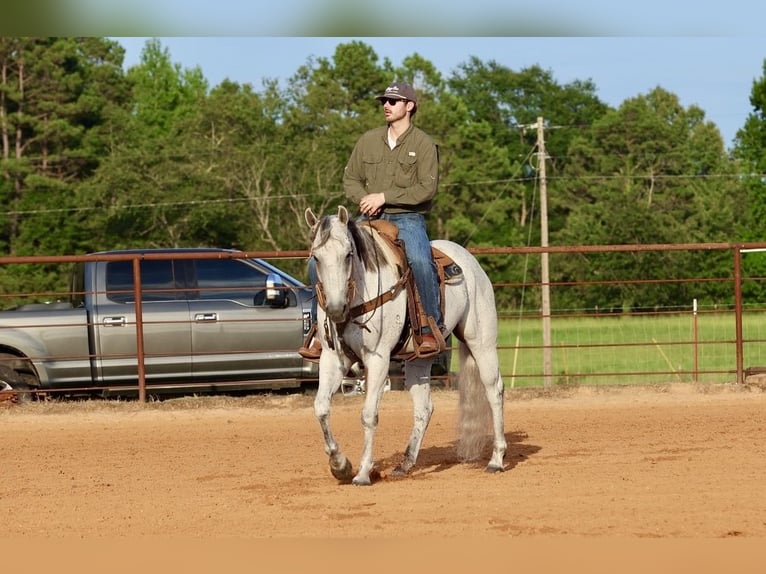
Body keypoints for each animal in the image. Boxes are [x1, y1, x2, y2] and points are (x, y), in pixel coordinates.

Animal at [306, 205, 506, 486]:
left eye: (348, 255)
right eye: (316, 257)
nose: (336, 309)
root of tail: (469, 260)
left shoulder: (377, 358)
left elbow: (369, 415)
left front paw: (363, 472)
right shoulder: (332, 358)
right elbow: (321, 408)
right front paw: (340, 465)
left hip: (482, 342)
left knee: (494, 390)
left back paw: (496, 459)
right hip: (420, 359)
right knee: (424, 407)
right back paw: (406, 463)